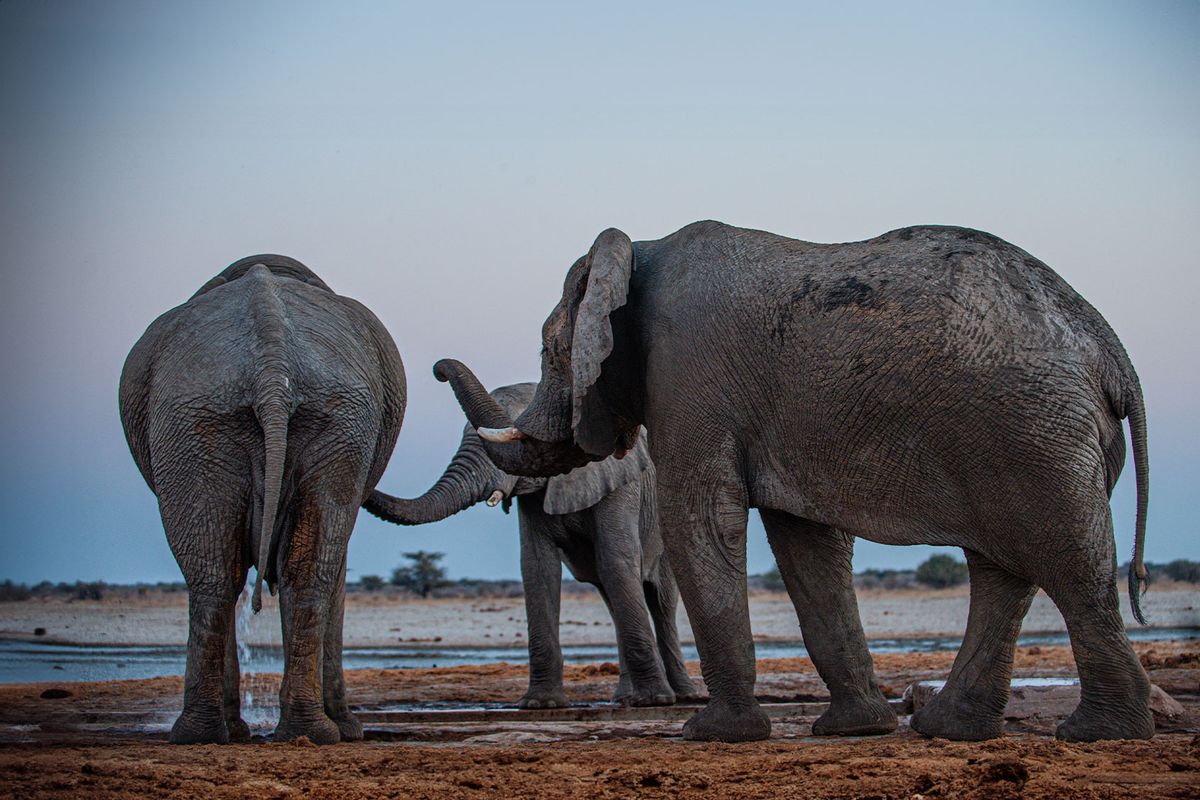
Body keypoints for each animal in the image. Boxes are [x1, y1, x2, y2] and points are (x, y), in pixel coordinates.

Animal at [120, 255, 408, 743]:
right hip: (224, 419)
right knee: (246, 573)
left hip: (222, 420)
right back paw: (266, 732)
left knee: (228, 572)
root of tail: (271, 368)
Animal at [369, 376, 700, 705]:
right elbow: (538, 568)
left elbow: (616, 560)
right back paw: (623, 698)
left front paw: (654, 701)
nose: (439, 372)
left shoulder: (620, 484)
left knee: (660, 599)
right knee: (611, 595)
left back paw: (682, 695)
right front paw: (541, 703)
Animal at [432, 219, 1152, 743]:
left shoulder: (689, 375)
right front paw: (854, 730)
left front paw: (713, 735)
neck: (639, 249)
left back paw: (1099, 735)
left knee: (1067, 562)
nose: (437, 367)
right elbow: (807, 544)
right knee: (1004, 570)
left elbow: (701, 518)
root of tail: (1114, 353)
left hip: (1036, 430)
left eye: (549, 349)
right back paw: (949, 729)